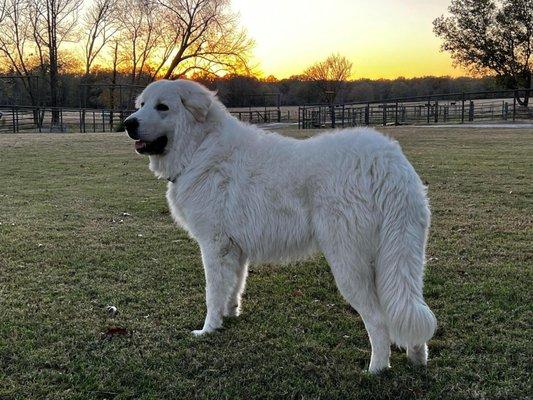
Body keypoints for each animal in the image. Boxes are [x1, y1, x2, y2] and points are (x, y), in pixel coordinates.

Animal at [124, 79, 436, 374]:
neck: (200, 148)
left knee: (379, 320)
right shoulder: (236, 249)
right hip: (402, 260)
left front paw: (208, 329)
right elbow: (233, 287)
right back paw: (417, 360)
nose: (128, 123)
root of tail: (387, 164)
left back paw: (375, 370)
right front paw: (229, 316)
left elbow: (212, 293)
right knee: (409, 311)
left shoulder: (214, 246)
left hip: (350, 264)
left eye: (163, 107)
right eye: (141, 105)